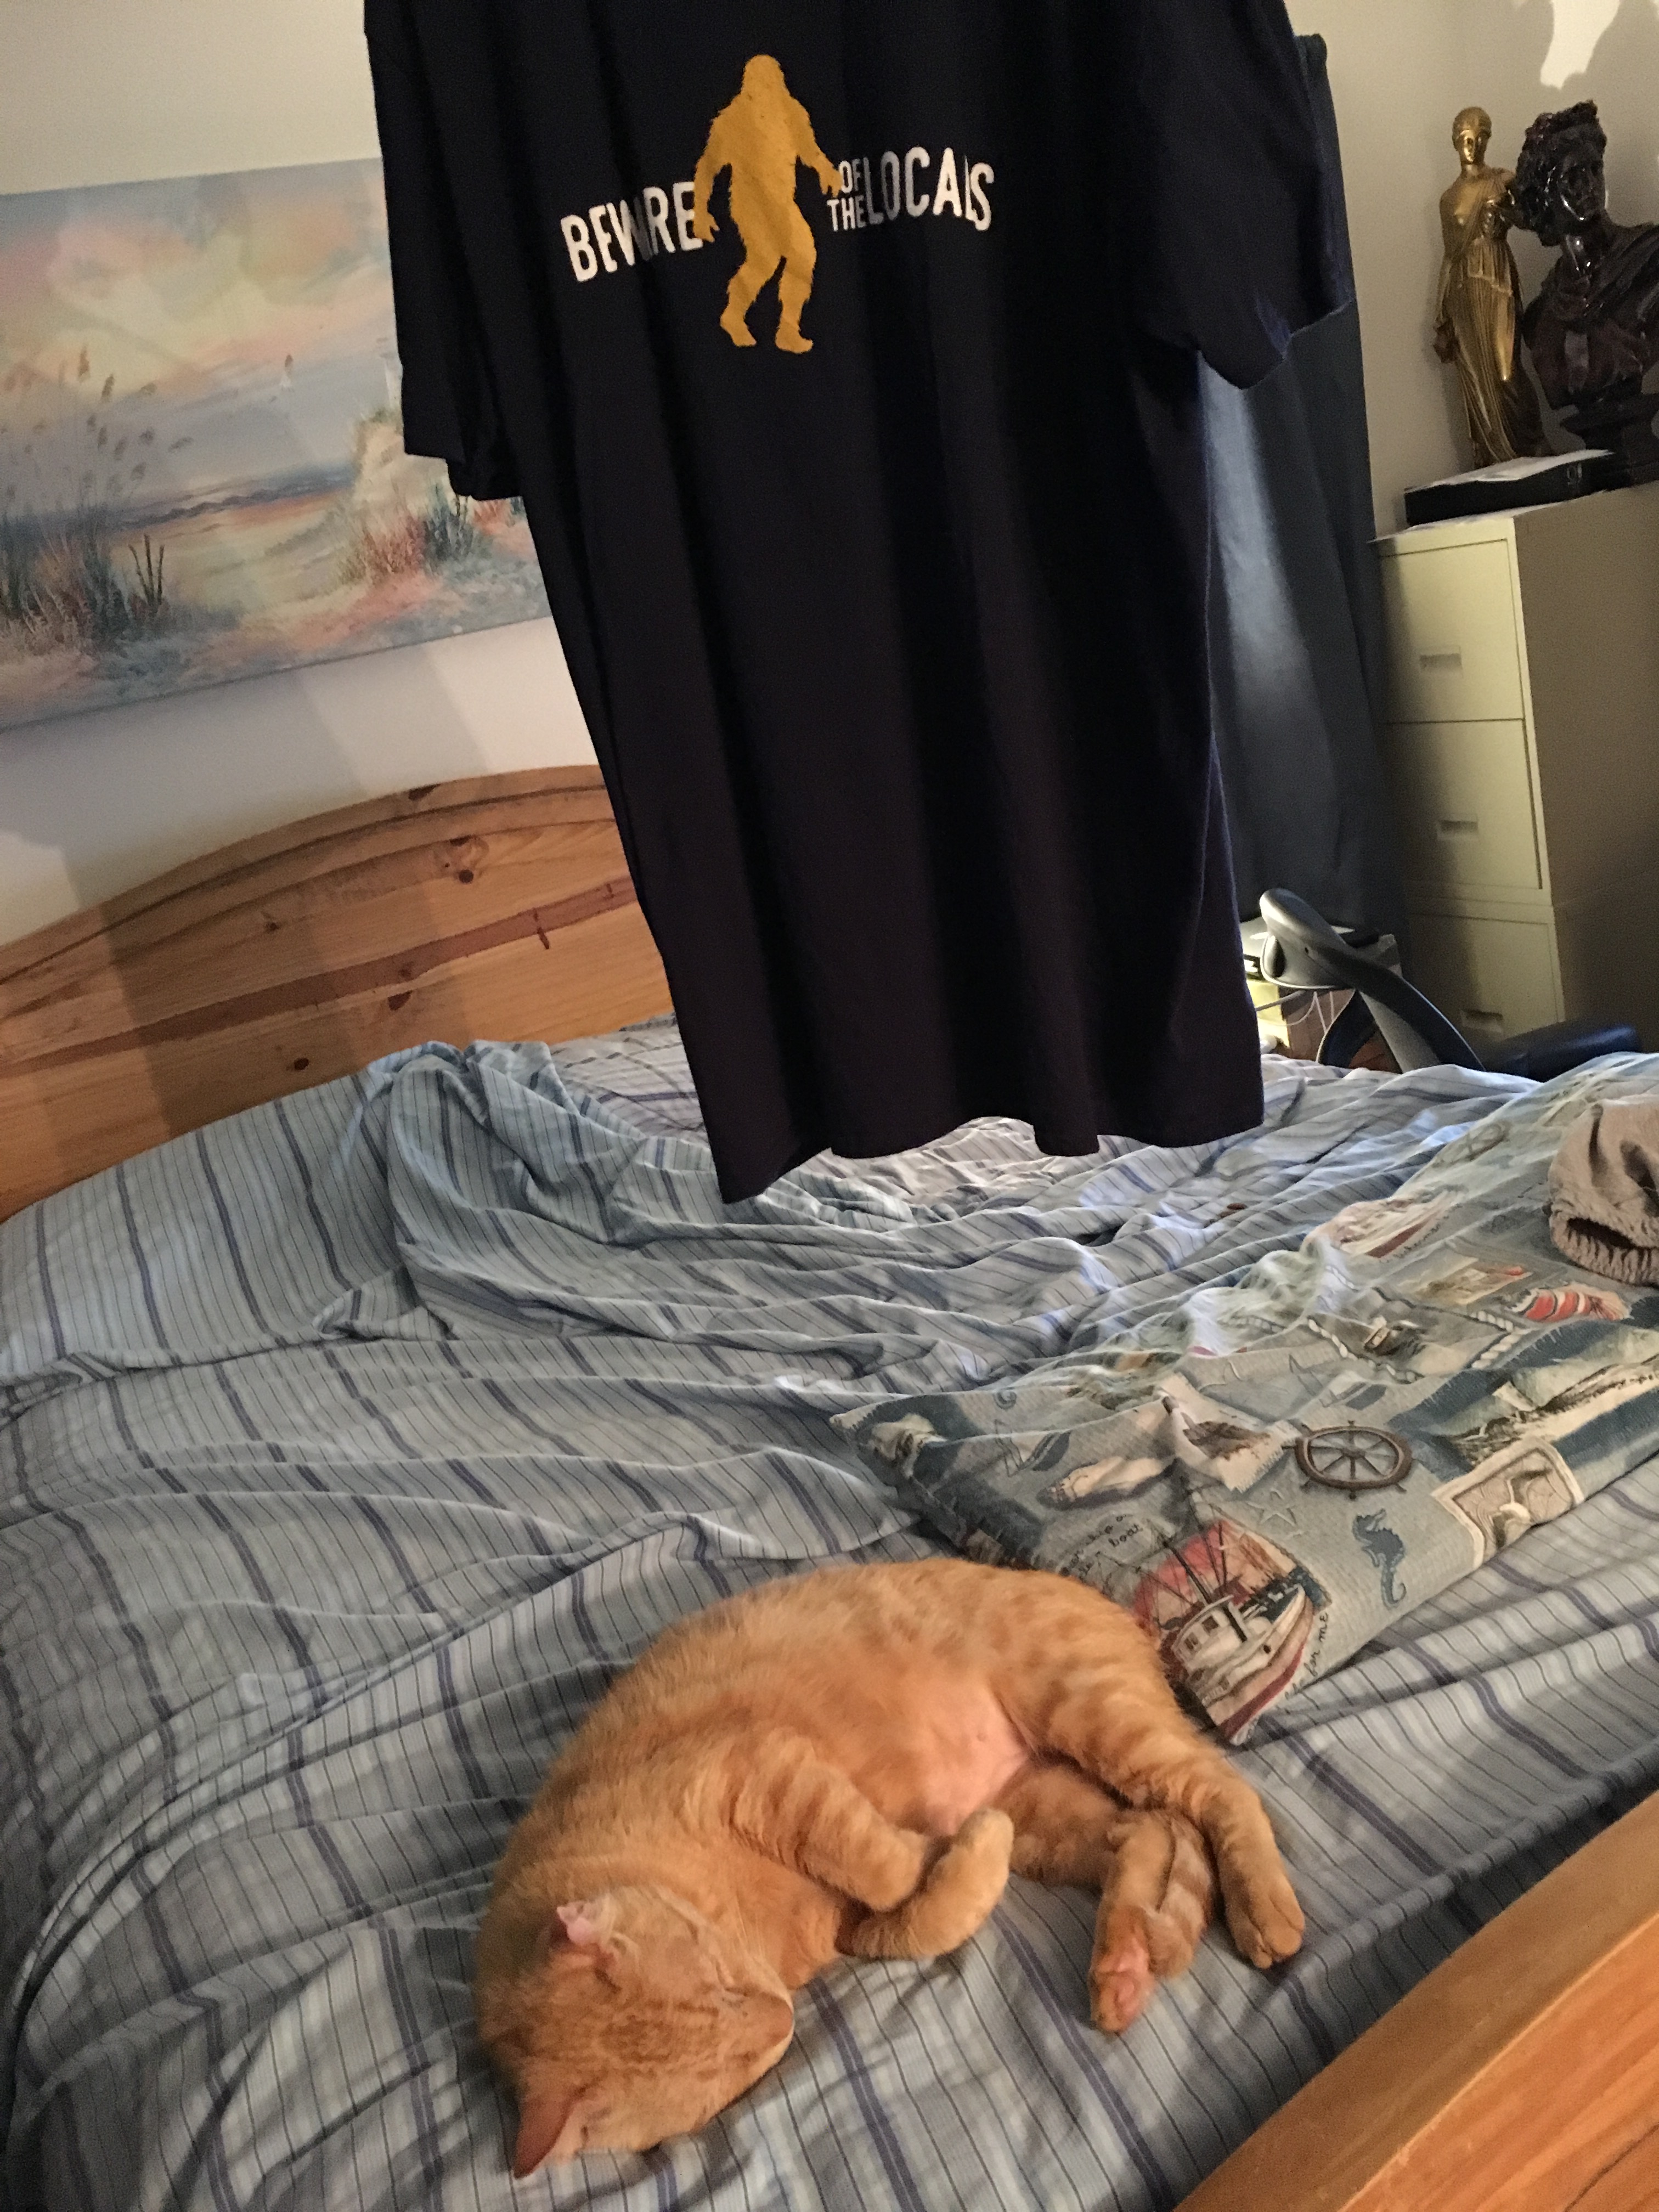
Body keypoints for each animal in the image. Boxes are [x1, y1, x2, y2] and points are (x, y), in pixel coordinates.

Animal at [474, 1556, 1304, 2174]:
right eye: (727, 2073)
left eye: (722, 1984)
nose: (781, 2019)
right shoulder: (850, 1926)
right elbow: (917, 1922)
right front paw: (955, 1865)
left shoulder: (763, 1769)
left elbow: (882, 1865)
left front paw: (935, 1851)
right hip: (1052, 1810)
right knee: (1151, 1832)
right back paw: (1126, 1963)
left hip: (1093, 1714)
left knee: (1223, 1792)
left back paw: (1263, 1910)